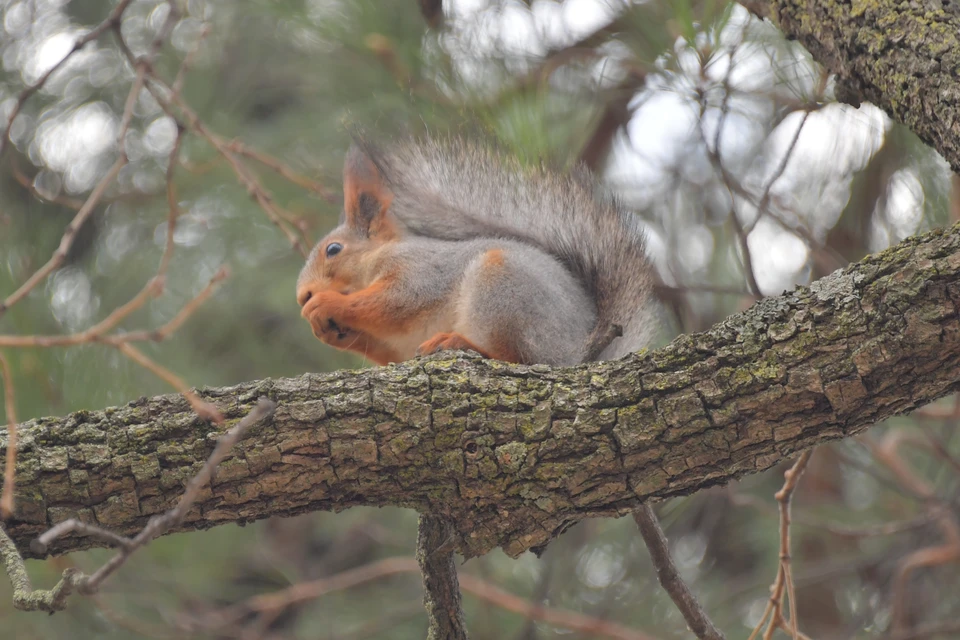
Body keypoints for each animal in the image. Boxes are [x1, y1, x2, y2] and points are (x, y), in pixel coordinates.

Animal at [296, 138, 656, 368]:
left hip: (502, 288)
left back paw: (460, 343)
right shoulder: (398, 345)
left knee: (519, 358)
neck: (377, 257)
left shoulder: (421, 270)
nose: (303, 296)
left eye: (333, 249)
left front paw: (327, 303)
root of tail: (578, 353)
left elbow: (397, 300)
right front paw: (329, 331)